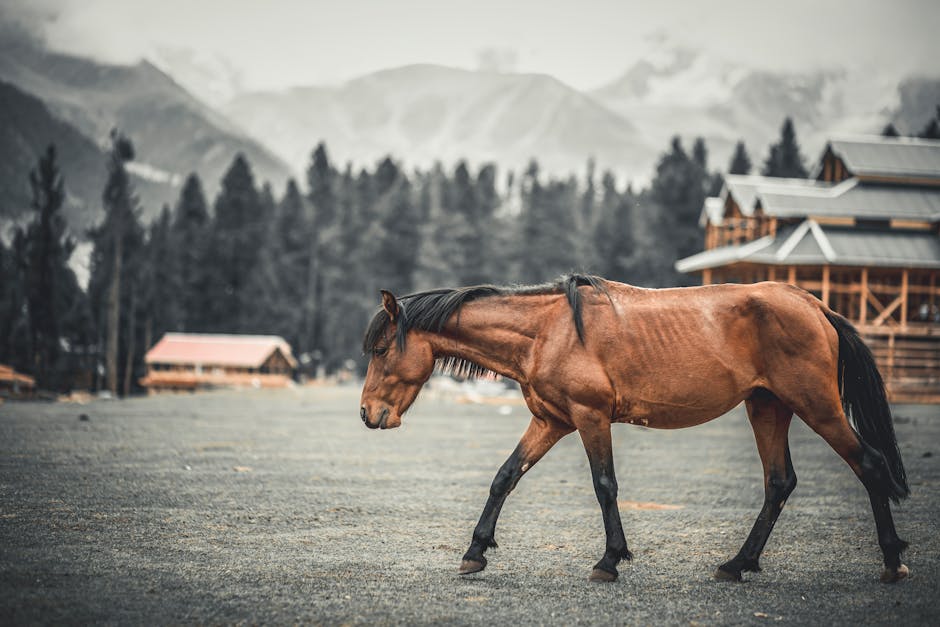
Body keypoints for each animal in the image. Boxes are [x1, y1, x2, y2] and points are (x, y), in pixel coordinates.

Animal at [360, 274, 912, 584]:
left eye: (382, 349)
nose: (368, 414)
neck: (546, 332)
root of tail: (814, 304)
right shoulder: (551, 421)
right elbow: (504, 478)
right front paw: (475, 552)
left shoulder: (590, 417)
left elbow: (605, 486)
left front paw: (610, 560)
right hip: (768, 407)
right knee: (779, 483)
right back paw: (737, 564)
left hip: (816, 405)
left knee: (868, 464)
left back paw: (892, 561)